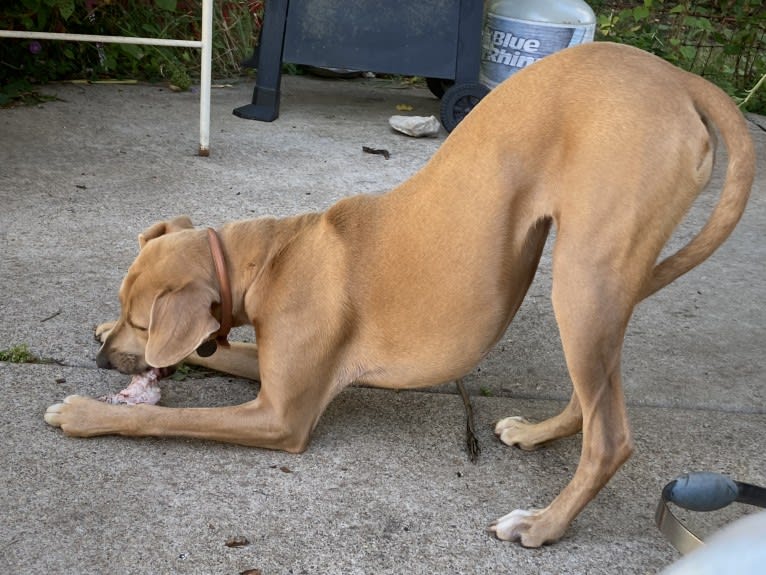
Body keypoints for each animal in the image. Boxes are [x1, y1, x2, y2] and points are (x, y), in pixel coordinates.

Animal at [46, 42, 756, 548]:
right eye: (126, 314)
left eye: (143, 322)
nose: (102, 358)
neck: (270, 258)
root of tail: (676, 76)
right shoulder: (268, 368)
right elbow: (213, 353)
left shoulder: (279, 418)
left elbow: (160, 416)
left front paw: (85, 411)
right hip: (602, 296)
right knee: (596, 400)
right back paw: (536, 434)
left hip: (582, 284)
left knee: (612, 437)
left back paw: (544, 525)